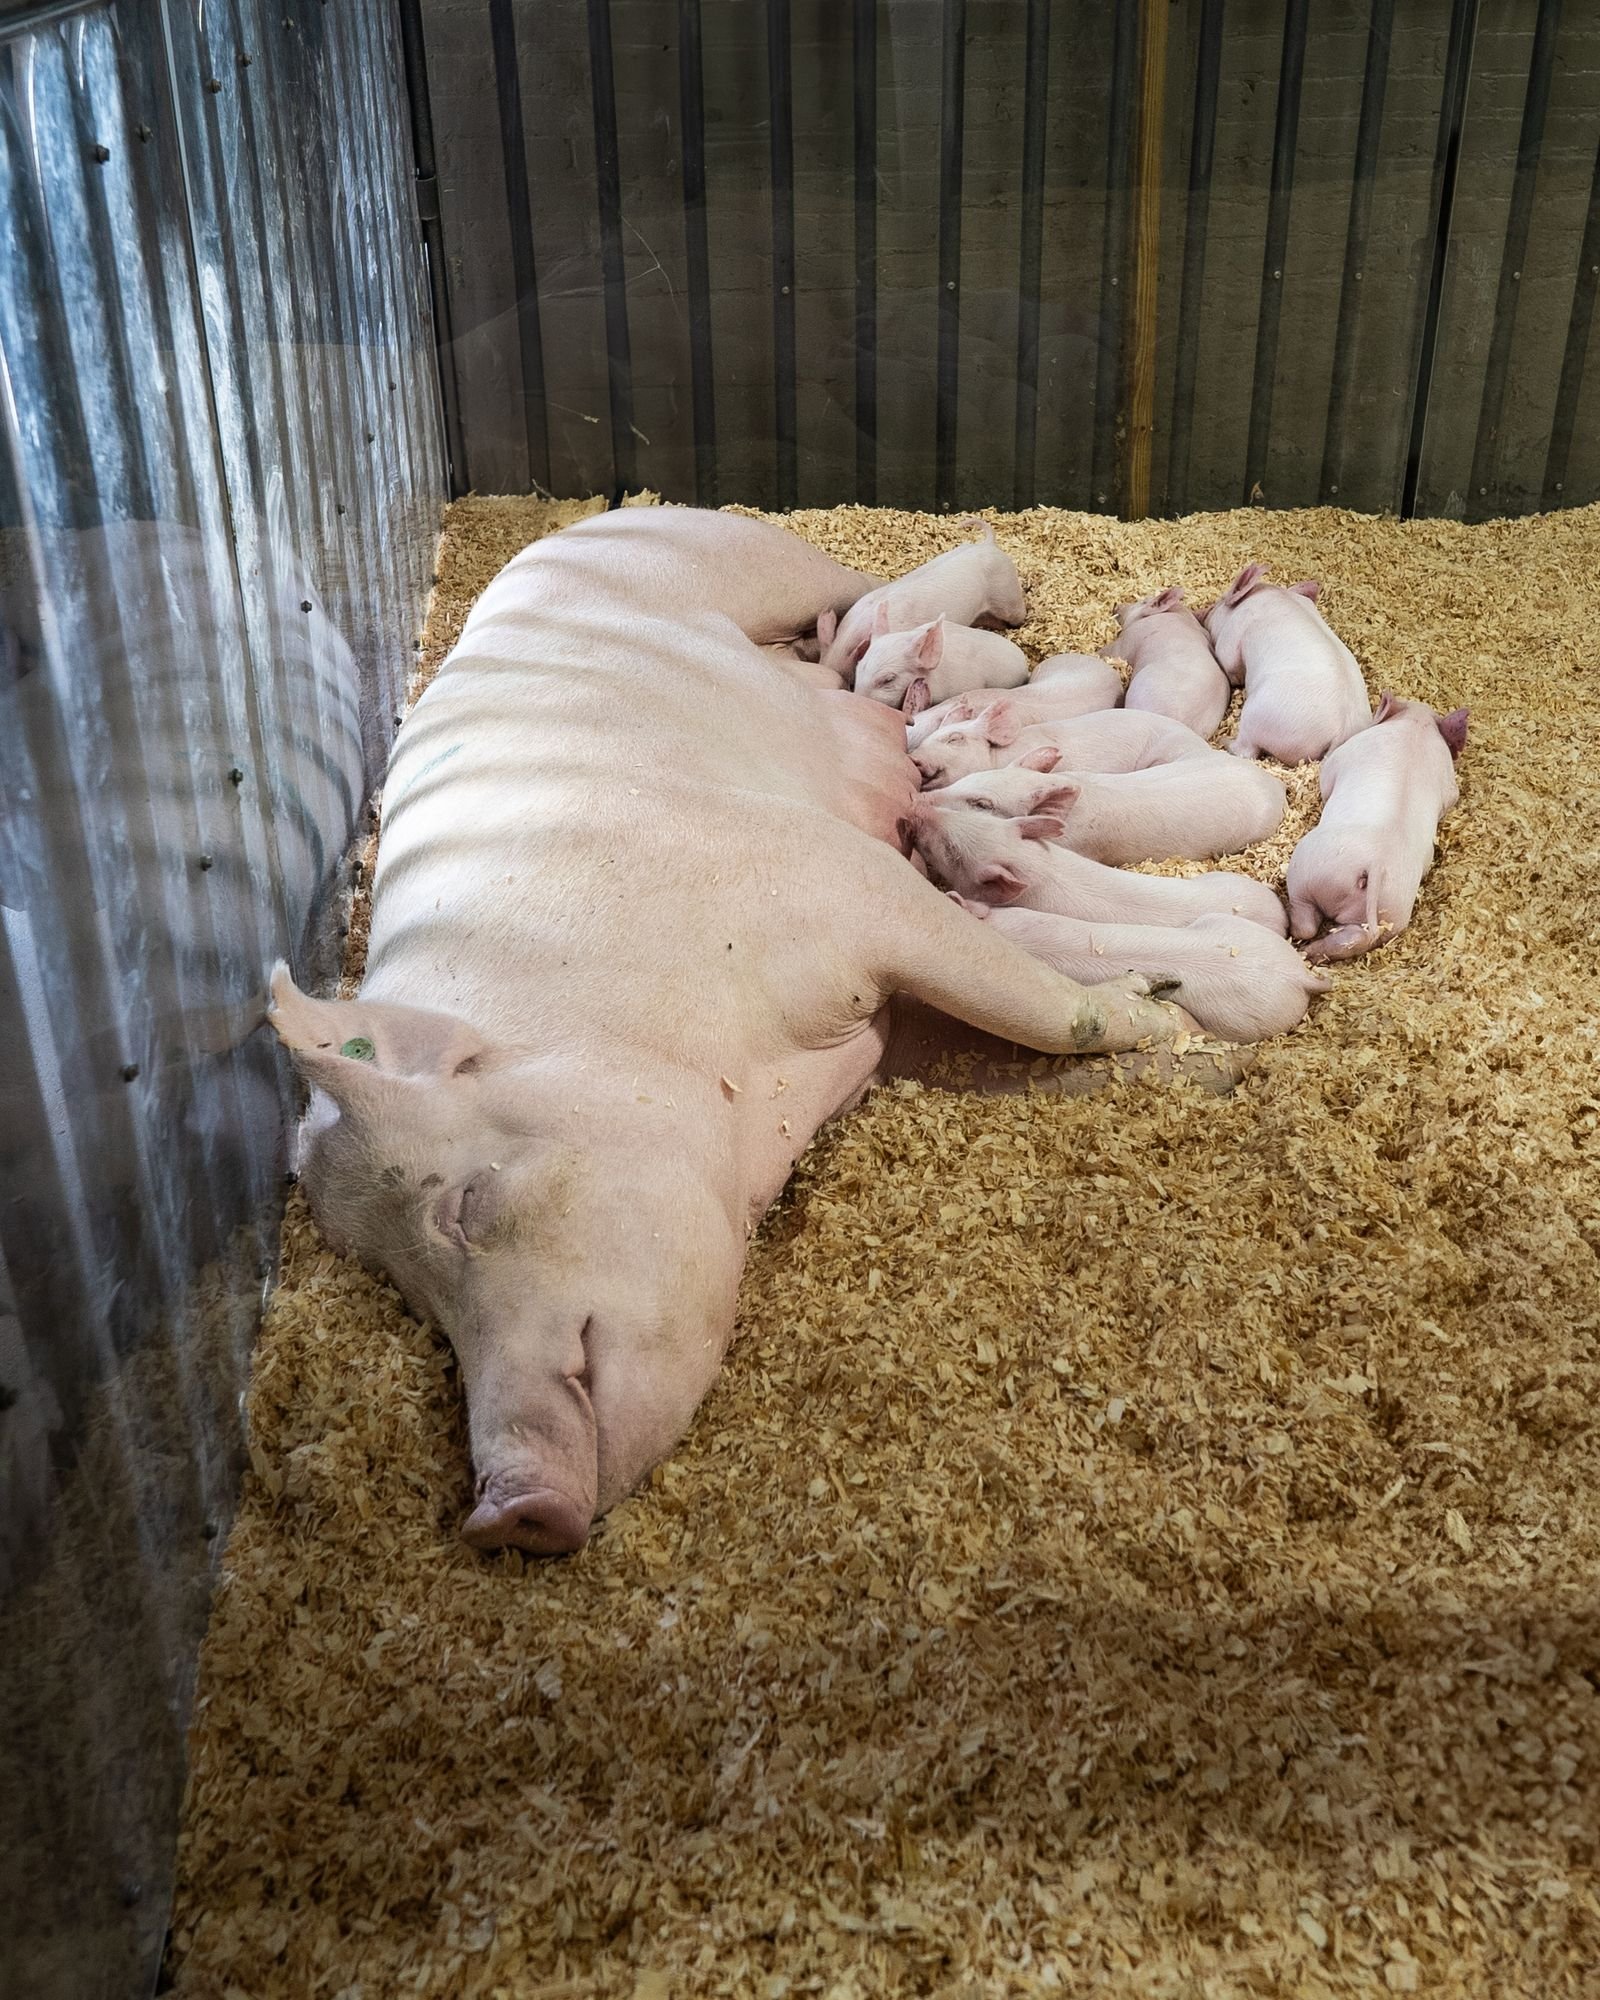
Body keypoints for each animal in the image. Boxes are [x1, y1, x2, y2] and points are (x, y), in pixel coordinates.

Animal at [1203, 563, 1372, 763]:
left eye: (1220, 601)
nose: (1204, 613)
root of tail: (1341, 733)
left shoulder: (1231, 641)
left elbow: (1231, 668)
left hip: (1258, 717)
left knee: (1246, 750)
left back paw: (1223, 741)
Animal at [1285, 691, 1468, 962]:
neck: (1417, 727)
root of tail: (1375, 864)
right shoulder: (1450, 788)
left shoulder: (1344, 756)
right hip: (1393, 909)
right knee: (1352, 938)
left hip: (1307, 871)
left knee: (1305, 922)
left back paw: (1301, 944)